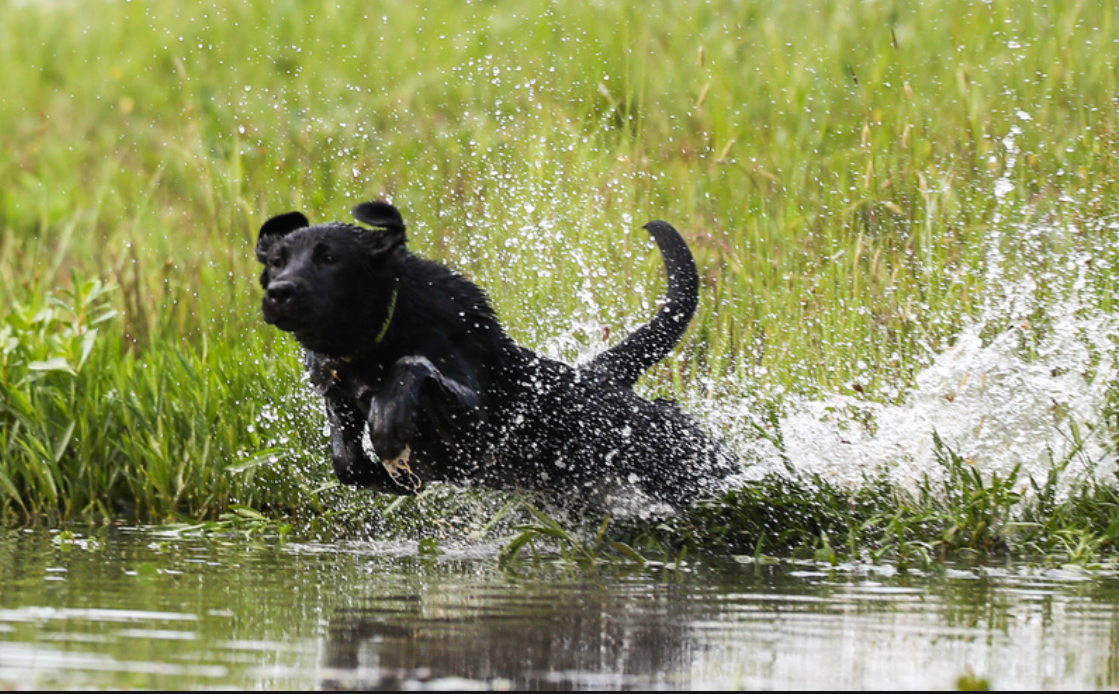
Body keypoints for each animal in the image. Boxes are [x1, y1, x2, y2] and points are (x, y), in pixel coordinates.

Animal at [257, 200, 738, 510]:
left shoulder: (477, 433)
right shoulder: (337, 399)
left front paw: (390, 422)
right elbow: (347, 462)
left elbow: (413, 368)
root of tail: (601, 375)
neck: (376, 342)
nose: (279, 292)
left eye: (330, 258)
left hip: (687, 459)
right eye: (278, 261)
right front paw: (388, 476)